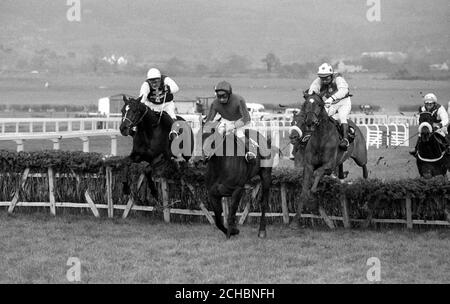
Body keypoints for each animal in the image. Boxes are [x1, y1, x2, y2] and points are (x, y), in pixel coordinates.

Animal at [290, 92, 368, 228]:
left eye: (319, 104)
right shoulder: (308, 166)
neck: (321, 138)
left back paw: (365, 184)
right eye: (305, 104)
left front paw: (313, 195)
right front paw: (295, 221)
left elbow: (317, 175)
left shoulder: (329, 165)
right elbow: (304, 191)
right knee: (342, 172)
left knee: (364, 166)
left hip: (360, 156)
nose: (310, 121)